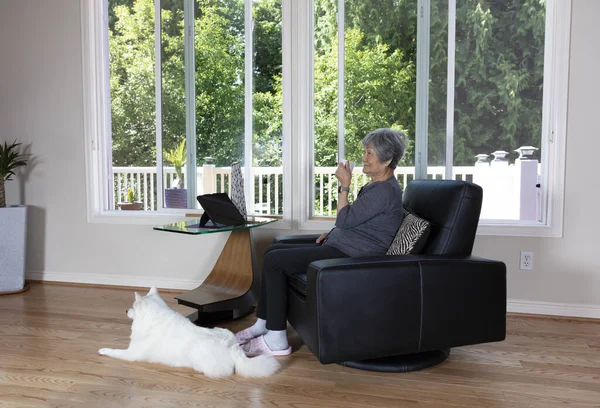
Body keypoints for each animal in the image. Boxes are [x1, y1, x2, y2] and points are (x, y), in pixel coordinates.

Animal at [99, 286, 282, 378]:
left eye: (132, 307)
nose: (125, 310)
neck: (154, 316)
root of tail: (233, 347)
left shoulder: (132, 353)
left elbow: (114, 351)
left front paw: (103, 350)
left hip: (197, 351)